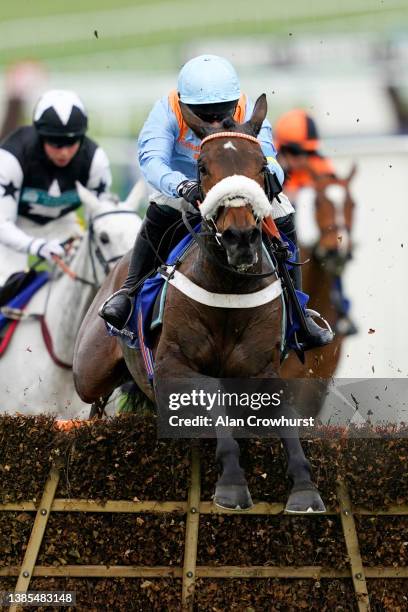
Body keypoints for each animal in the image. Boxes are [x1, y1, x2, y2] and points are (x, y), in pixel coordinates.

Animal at [73, 95, 326, 512]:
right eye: (203, 167)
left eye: (261, 165)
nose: (240, 237)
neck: (229, 288)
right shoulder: (173, 366)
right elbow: (213, 401)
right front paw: (233, 484)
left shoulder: (262, 369)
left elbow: (286, 417)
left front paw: (305, 488)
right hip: (89, 372)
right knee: (93, 402)